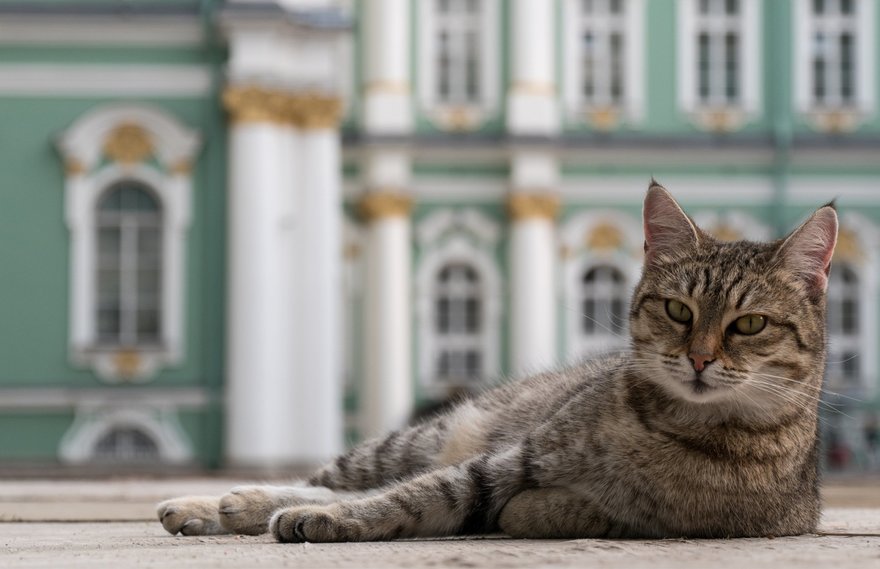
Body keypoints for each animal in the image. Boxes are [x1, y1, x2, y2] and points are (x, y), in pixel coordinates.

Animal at [158, 183, 840, 540]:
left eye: (748, 324)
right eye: (677, 310)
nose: (698, 358)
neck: (671, 426)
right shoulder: (511, 459)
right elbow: (409, 496)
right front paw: (323, 516)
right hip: (421, 437)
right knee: (340, 477)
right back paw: (217, 504)